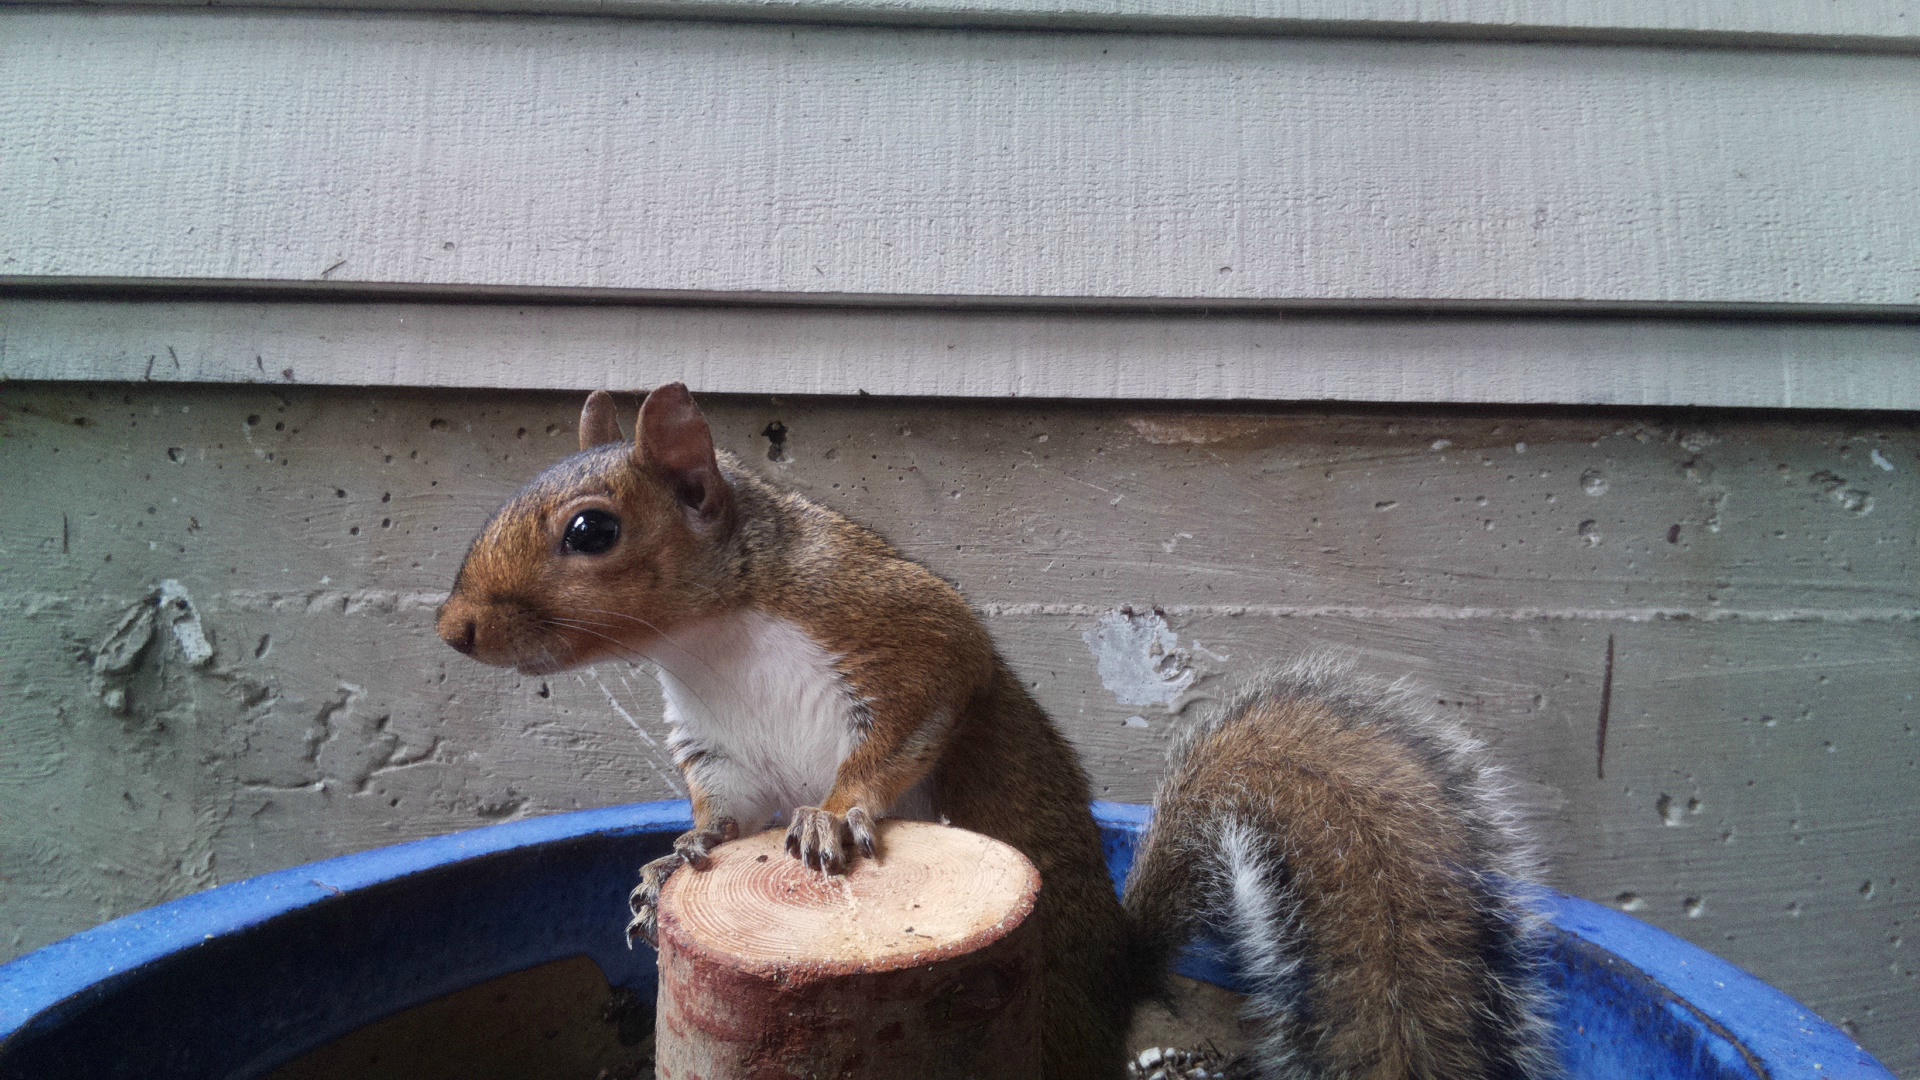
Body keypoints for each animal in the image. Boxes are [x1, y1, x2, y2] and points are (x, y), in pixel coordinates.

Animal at [436, 384, 1556, 1080]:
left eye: (593, 531)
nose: (453, 629)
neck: (711, 643)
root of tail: (1116, 977)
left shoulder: (896, 632)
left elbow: (905, 728)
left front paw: (834, 817)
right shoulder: (718, 744)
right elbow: (723, 809)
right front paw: (675, 858)